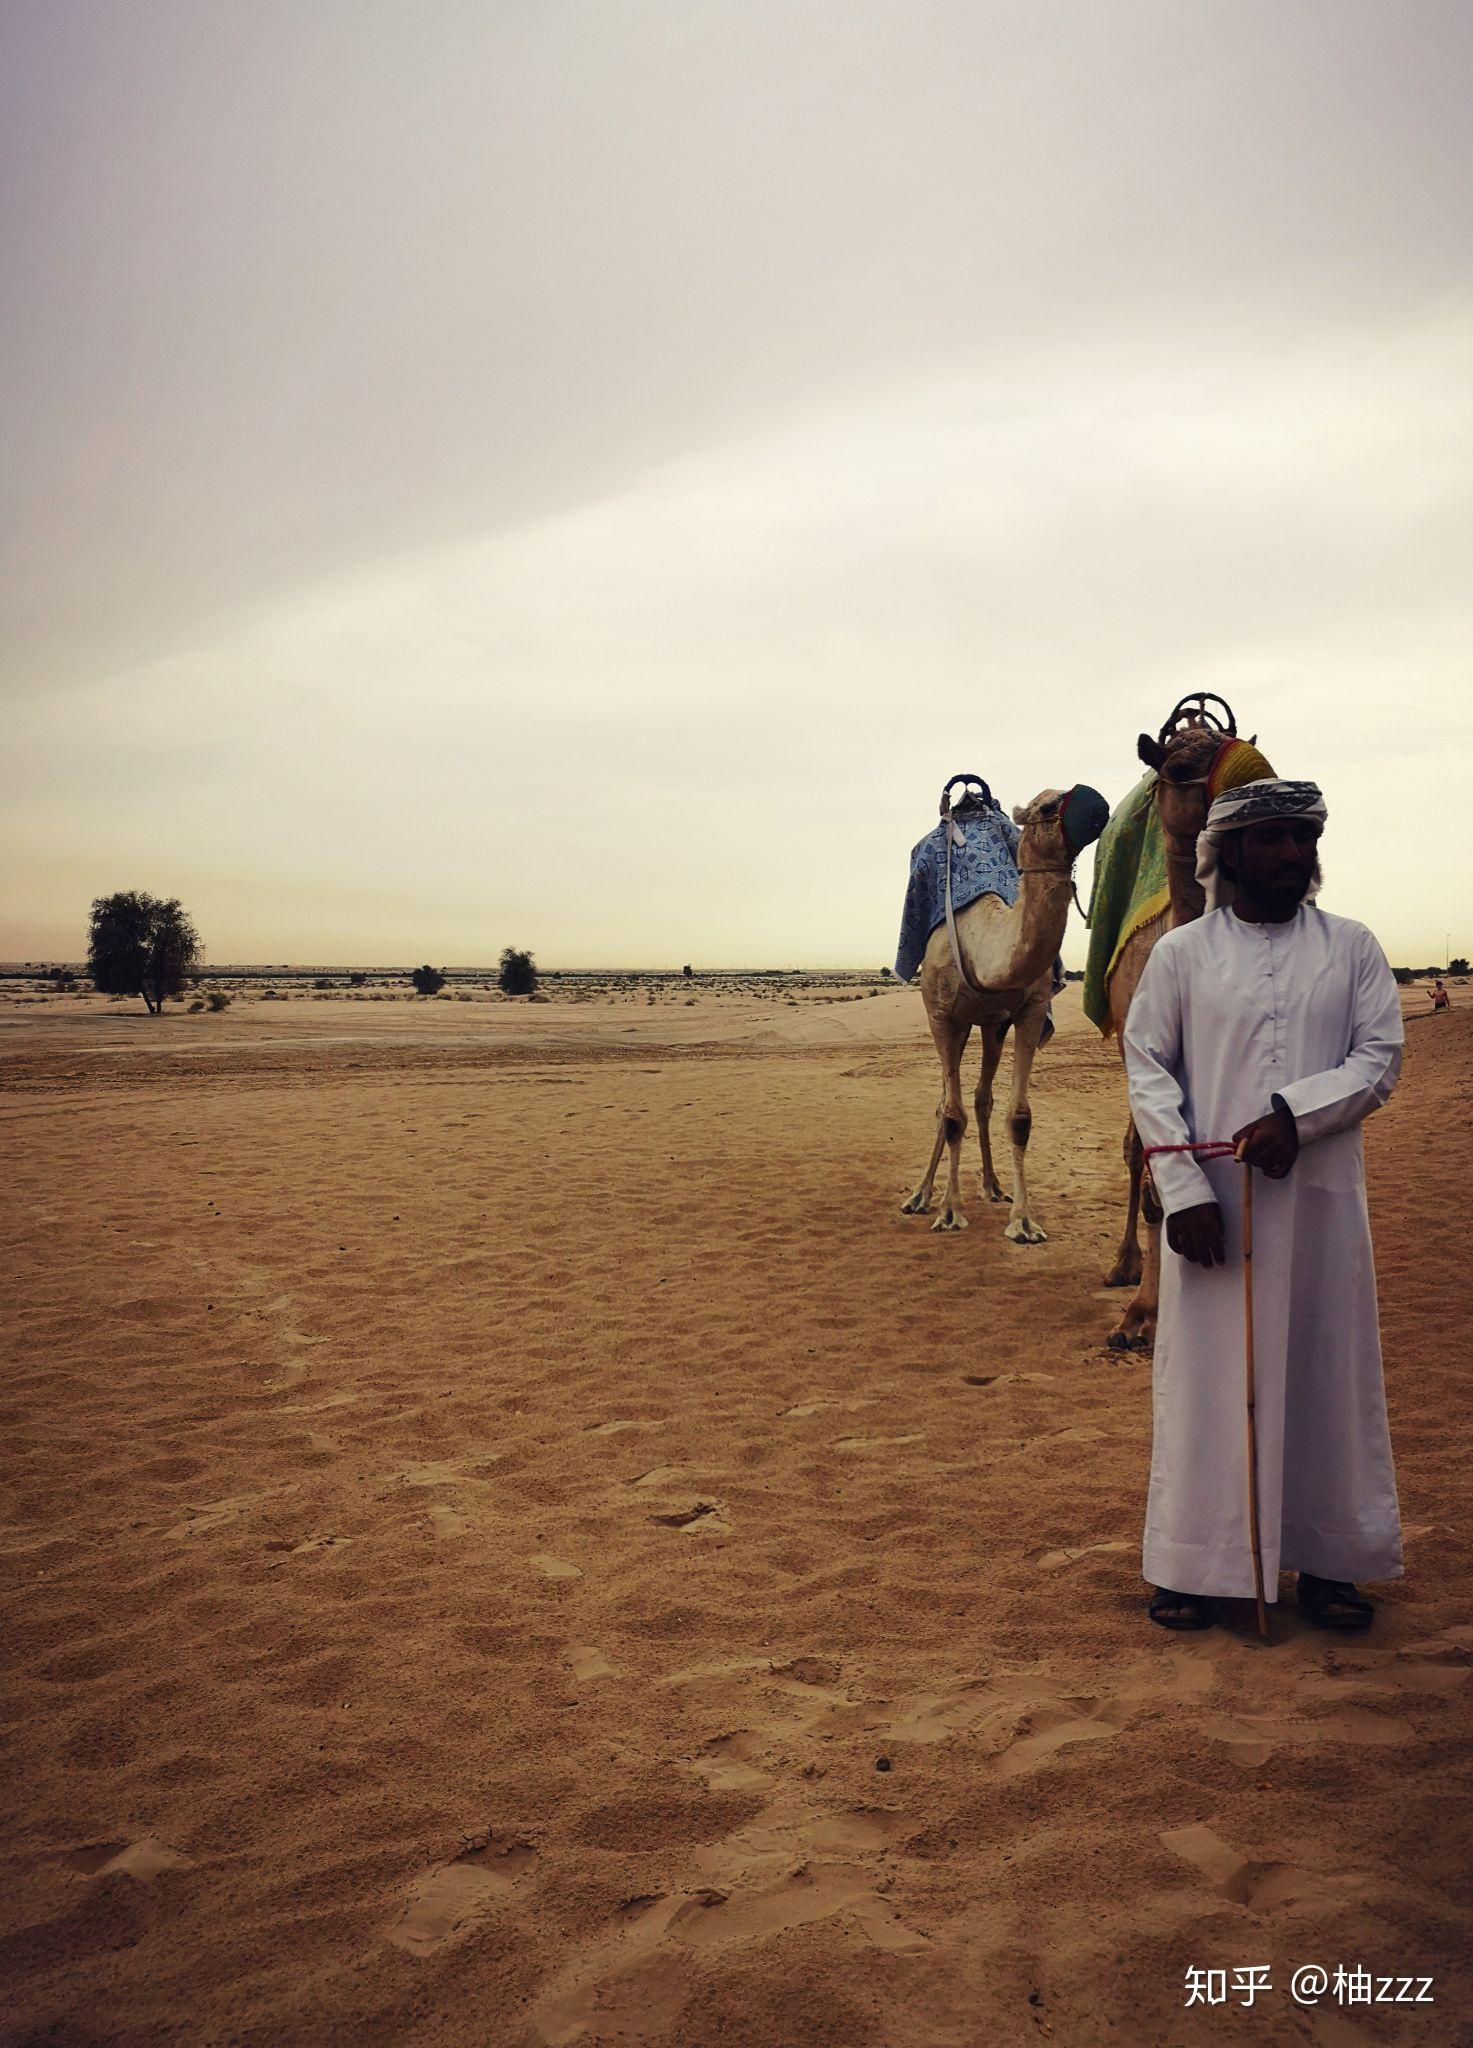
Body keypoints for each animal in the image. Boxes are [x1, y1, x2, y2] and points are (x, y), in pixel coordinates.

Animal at [897, 778, 1106, 1228]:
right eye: (1046, 807)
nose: (1099, 802)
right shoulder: (943, 1017)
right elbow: (950, 1115)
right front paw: (950, 1212)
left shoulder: (1029, 1011)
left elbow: (1019, 1117)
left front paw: (1025, 1220)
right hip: (952, 1024)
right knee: (946, 1104)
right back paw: (920, 1196)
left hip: (992, 1025)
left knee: (981, 1099)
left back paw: (993, 1186)